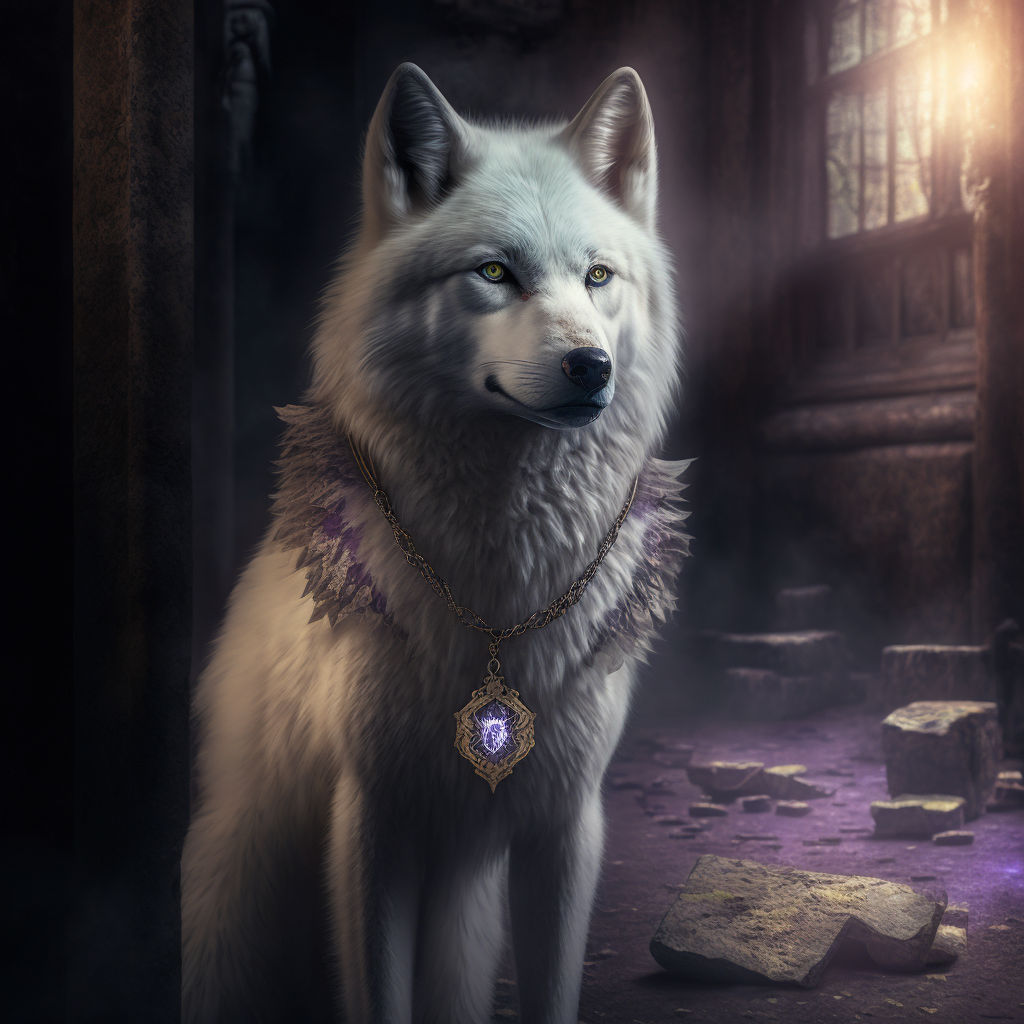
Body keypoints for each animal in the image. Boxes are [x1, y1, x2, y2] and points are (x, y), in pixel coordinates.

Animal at [181, 63, 688, 1024]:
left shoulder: (565, 827)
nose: (591, 367)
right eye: (494, 272)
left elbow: (553, 992)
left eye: (598, 276)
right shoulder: (376, 823)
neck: (496, 591)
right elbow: (378, 994)